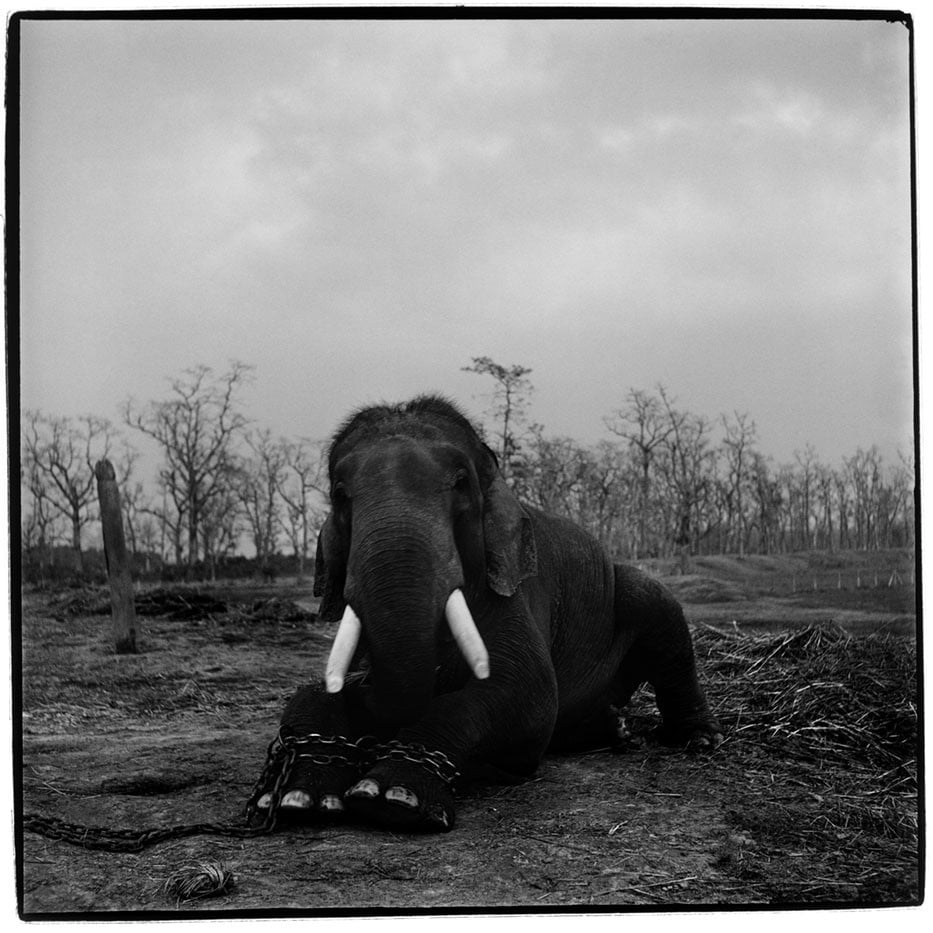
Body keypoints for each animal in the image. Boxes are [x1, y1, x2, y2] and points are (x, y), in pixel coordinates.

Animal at [253, 394, 720, 832]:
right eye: (339, 494)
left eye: (462, 482)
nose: (362, 686)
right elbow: (312, 692)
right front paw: (298, 797)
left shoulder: (515, 594)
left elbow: (528, 691)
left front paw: (393, 798)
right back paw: (614, 729)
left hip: (638, 596)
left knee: (662, 619)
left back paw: (698, 740)